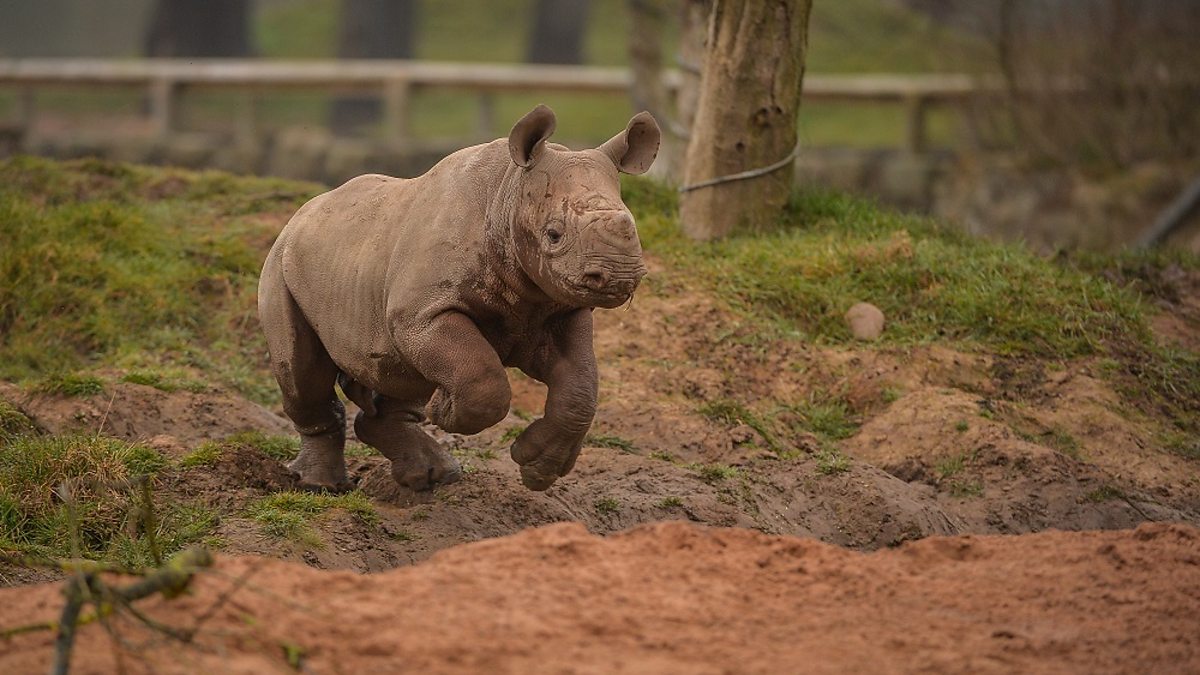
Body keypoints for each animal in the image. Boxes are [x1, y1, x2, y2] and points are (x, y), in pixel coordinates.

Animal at [256, 107, 662, 492]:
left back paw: (431, 476)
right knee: (304, 372)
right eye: (554, 234)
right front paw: (444, 411)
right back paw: (320, 485)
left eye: (632, 226)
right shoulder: (423, 314)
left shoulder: (561, 310)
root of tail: (302, 213)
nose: (619, 276)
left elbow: (580, 389)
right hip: (282, 265)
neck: (509, 193)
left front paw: (538, 469)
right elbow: (482, 378)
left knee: (402, 374)